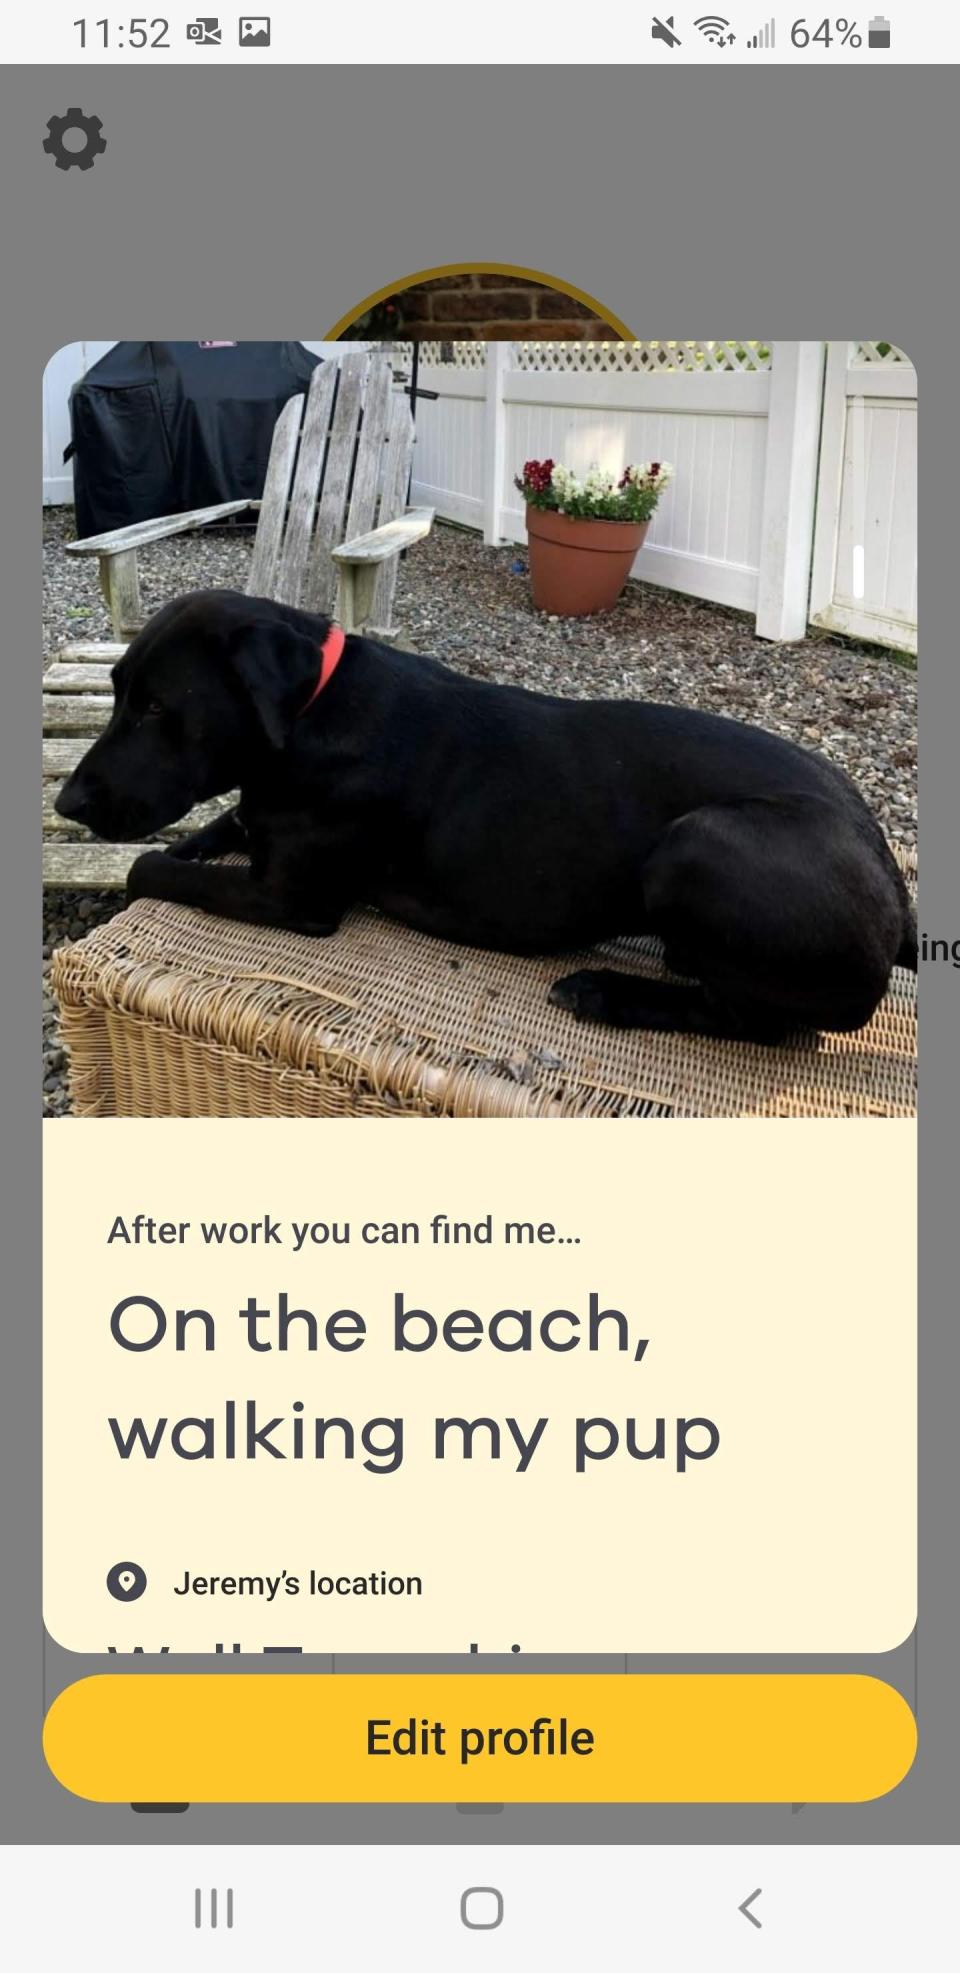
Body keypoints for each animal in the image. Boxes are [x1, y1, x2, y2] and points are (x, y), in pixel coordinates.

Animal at [58, 587, 918, 1041]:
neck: (309, 710)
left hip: (698, 843)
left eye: (157, 708)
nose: (67, 802)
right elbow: (216, 826)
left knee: (752, 1019)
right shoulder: (259, 814)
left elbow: (151, 864)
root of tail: (894, 885)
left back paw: (610, 993)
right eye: (116, 690)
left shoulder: (288, 895)